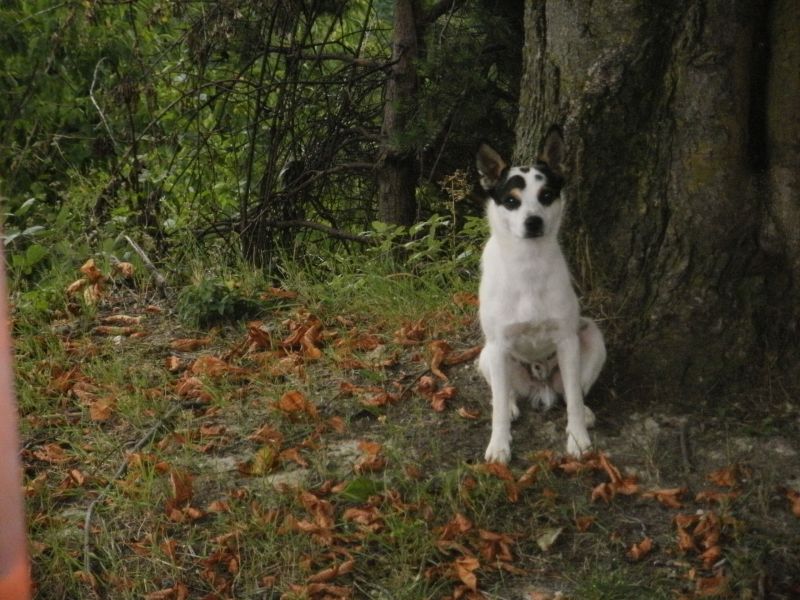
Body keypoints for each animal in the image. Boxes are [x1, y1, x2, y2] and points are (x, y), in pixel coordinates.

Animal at [476, 127, 608, 464]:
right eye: (511, 201)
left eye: (546, 195)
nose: (533, 221)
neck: (528, 265)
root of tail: (541, 385)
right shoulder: (498, 345)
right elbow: (498, 405)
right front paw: (499, 445)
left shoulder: (567, 341)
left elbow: (573, 398)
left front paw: (578, 438)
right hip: (487, 356)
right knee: (503, 393)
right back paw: (511, 406)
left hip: (591, 336)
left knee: (575, 392)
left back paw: (586, 412)